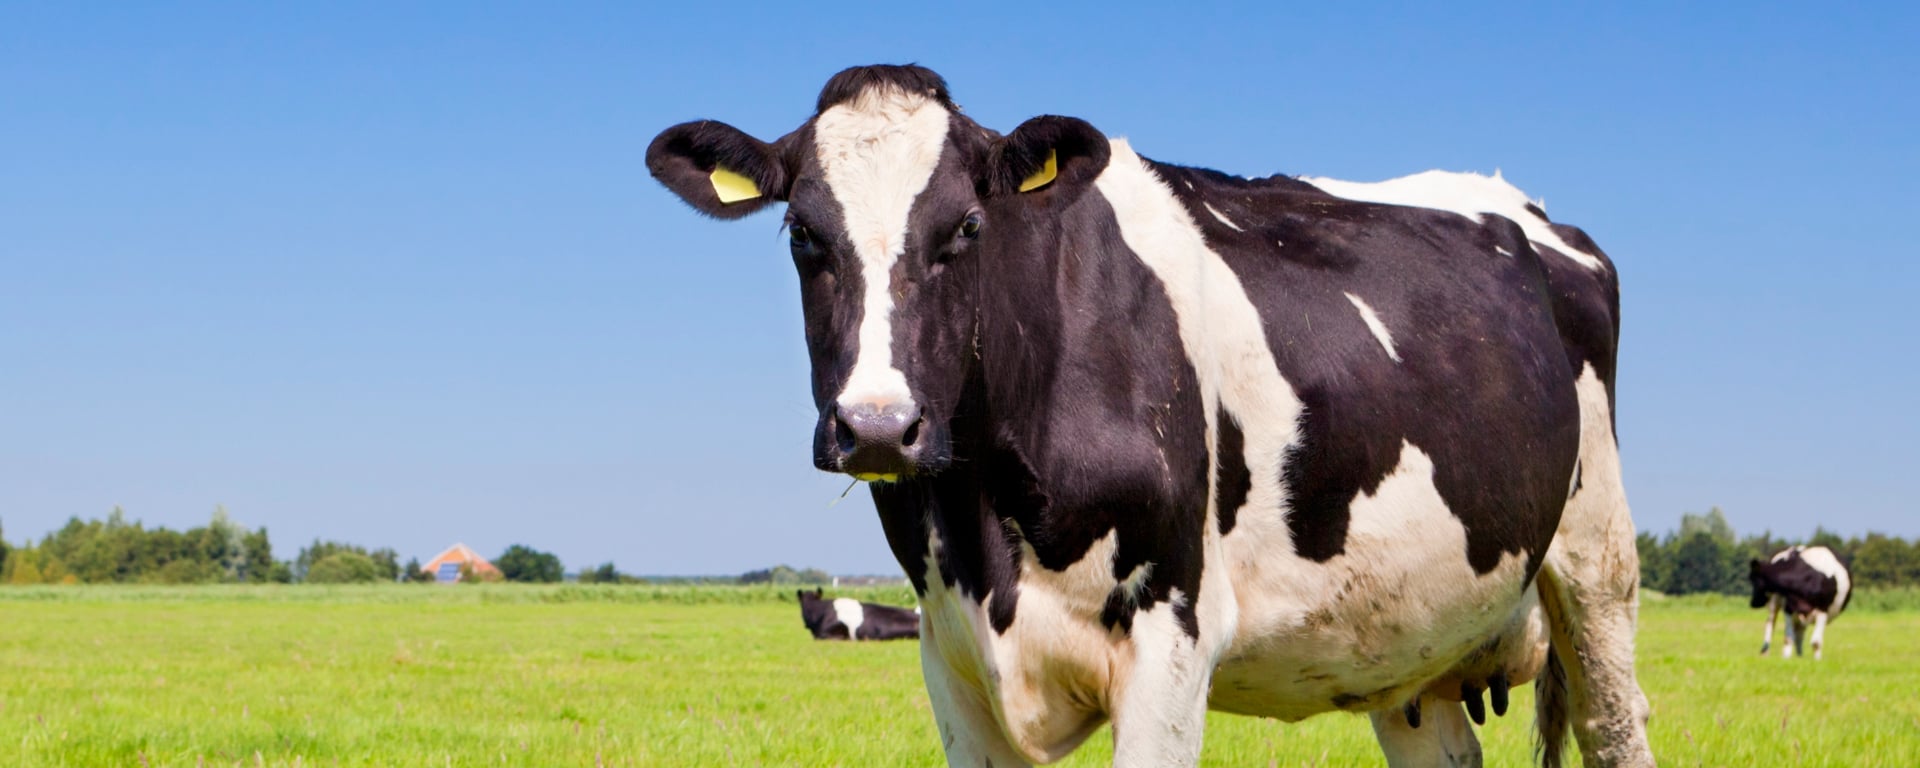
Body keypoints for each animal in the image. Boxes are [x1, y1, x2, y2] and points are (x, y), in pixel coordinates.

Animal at [645, 64, 1653, 768]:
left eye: (967, 226)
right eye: (803, 233)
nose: (880, 428)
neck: (989, 530)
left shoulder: (1171, 633)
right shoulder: (952, 659)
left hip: (1595, 560)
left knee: (1614, 720)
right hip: (1409, 634)